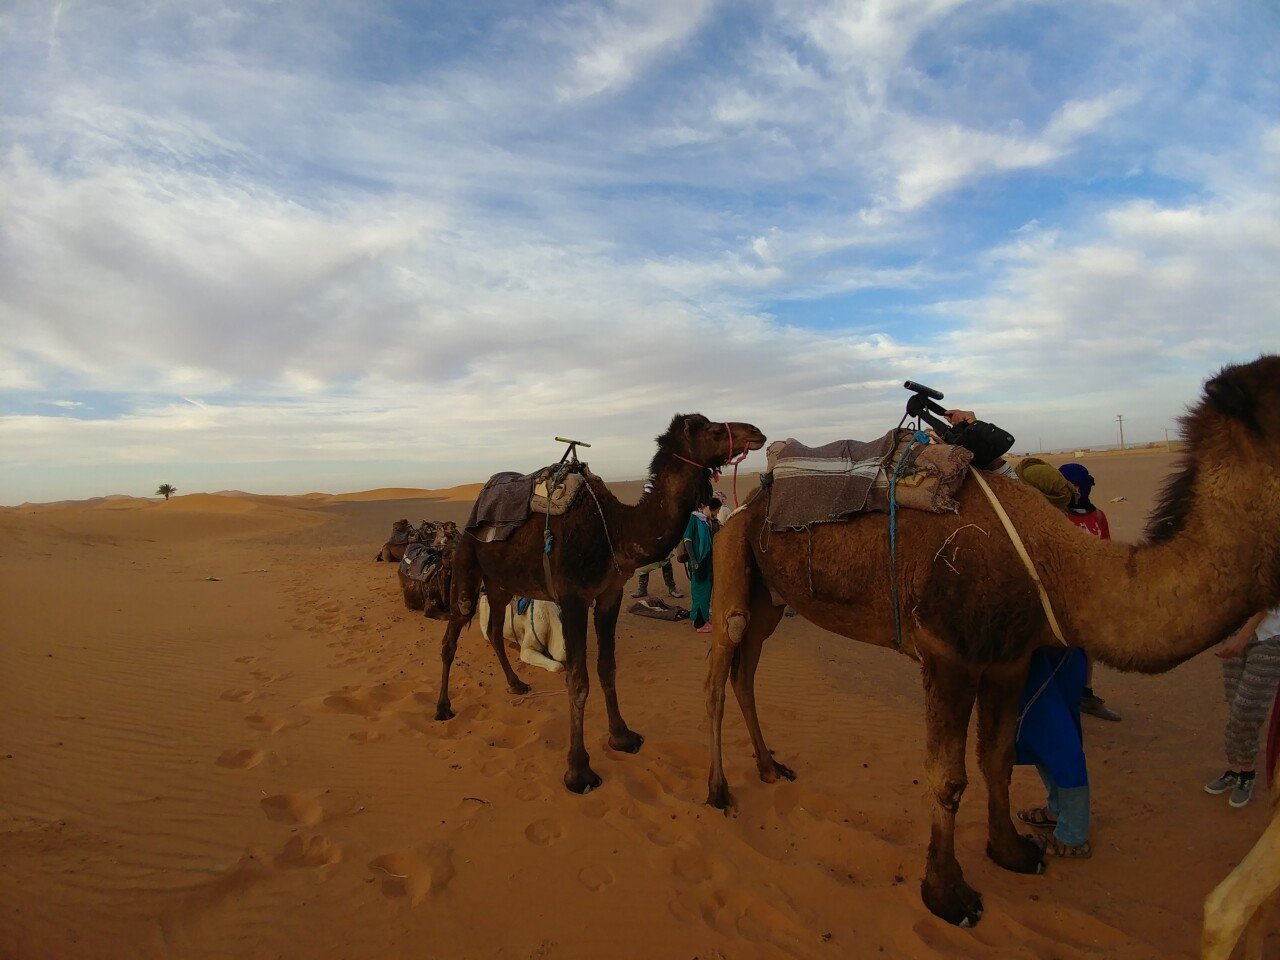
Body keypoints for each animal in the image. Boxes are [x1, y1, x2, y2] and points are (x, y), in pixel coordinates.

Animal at [440, 414, 762, 798]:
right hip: (467, 559)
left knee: (492, 629)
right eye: (713, 431)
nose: (757, 433)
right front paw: (579, 771)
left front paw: (622, 736)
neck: (617, 530)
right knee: (453, 632)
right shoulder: (572, 598)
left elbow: (607, 668)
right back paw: (443, 708)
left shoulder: (610, 594)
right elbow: (578, 680)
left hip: (501, 582)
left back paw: (516, 685)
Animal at [706, 358, 1280, 926]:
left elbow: (999, 757)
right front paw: (947, 894)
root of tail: (750, 497)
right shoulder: (947, 657)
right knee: (720, 670)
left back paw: (770, 767)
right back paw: (718, 790)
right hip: (730, 555)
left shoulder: (1010, 659)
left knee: (745, 672)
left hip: (770, 598)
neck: (1061, 569)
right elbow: (946, 778)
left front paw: (1012, 851)